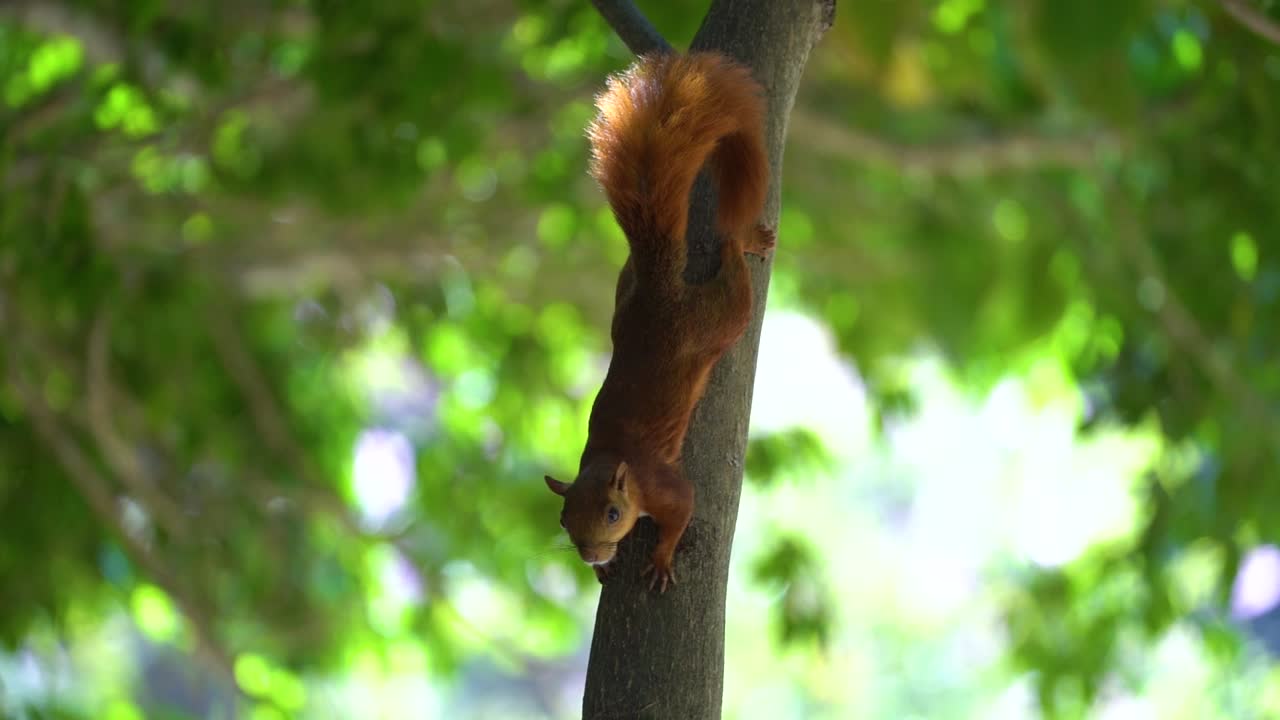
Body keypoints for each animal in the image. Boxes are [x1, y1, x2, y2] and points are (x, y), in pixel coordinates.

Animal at [544, 52, 774, 593]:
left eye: (612, 513)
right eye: (562, 519)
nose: (590, 555)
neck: (608, 458)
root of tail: (658, 287)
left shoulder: (661, 486)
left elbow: (683, 511)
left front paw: (663, 559)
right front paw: (604, 571)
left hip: (719, 319)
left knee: (734, 272)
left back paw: (745, 240)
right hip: (623, 301)